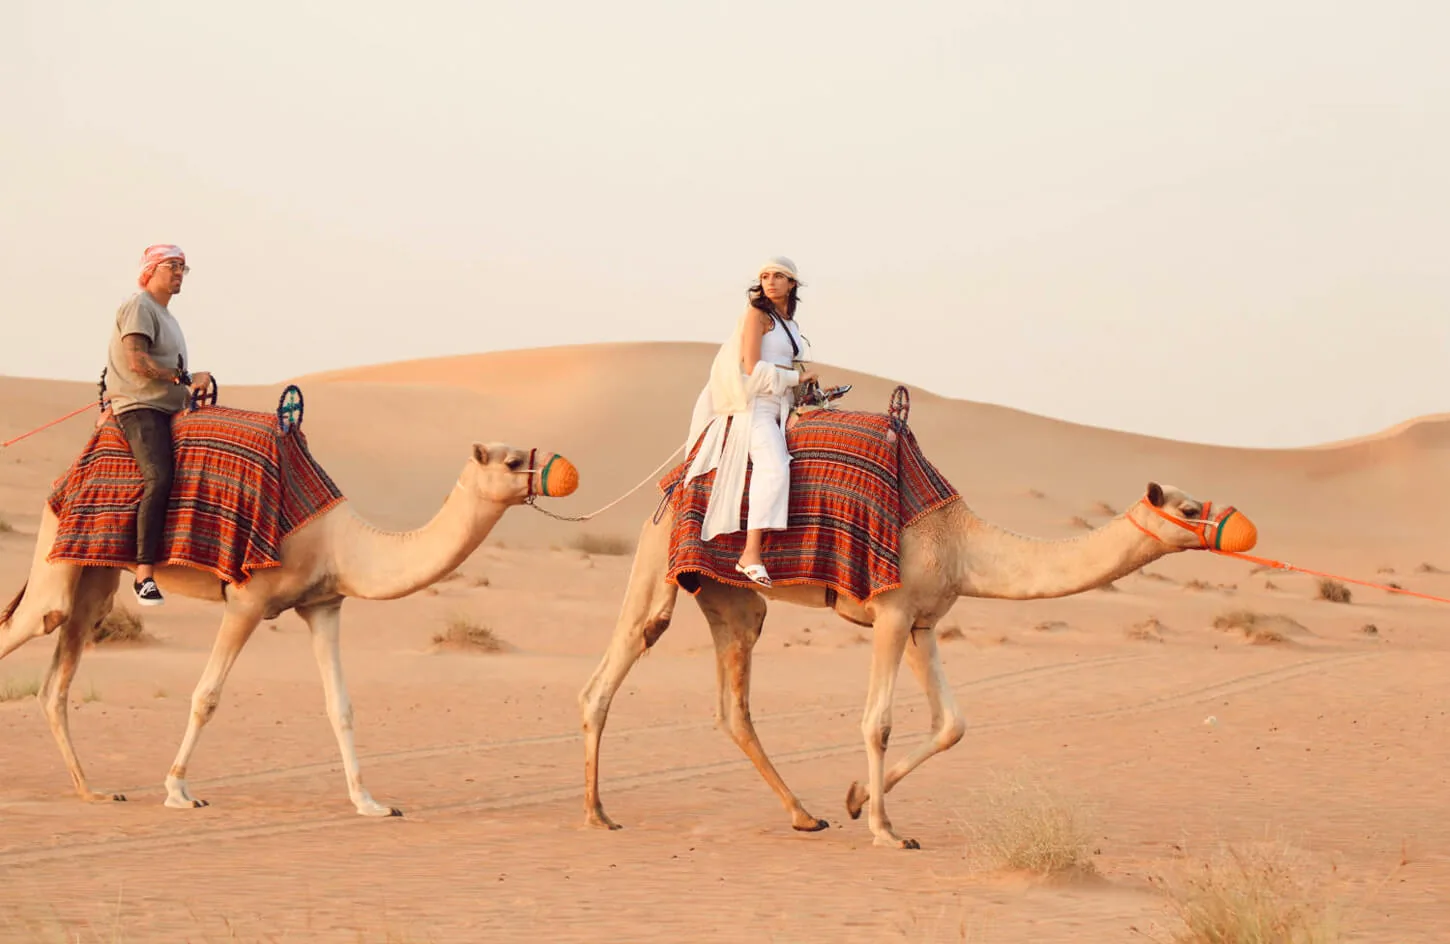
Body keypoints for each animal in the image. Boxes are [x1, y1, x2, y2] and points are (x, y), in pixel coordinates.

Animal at [0, 438, 578, 816]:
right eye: (511, 460)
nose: (564, 471)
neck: (340, 542)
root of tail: (64, 480)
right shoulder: (247, 600)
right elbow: (206, 696)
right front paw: (178, 791)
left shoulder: (324, 605)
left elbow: (340, 707)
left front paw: (370, 802)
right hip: (57, 562)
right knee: (34, 622)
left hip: (95, 576)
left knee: (56, 680)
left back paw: (93, 791)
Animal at [578, 476, 1253, 849]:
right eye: (1187, 509)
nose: (1232, 526)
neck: (962, 542)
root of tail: (669, 491)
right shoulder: (892, 612)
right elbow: (876, 722)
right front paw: (886, 830)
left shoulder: (924, 622)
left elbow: (952, 724)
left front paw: (855, 799)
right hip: (658, 563)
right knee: (610, 673)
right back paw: (597, 815)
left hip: (731, 597)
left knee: (732, 705)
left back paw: (806, 816)